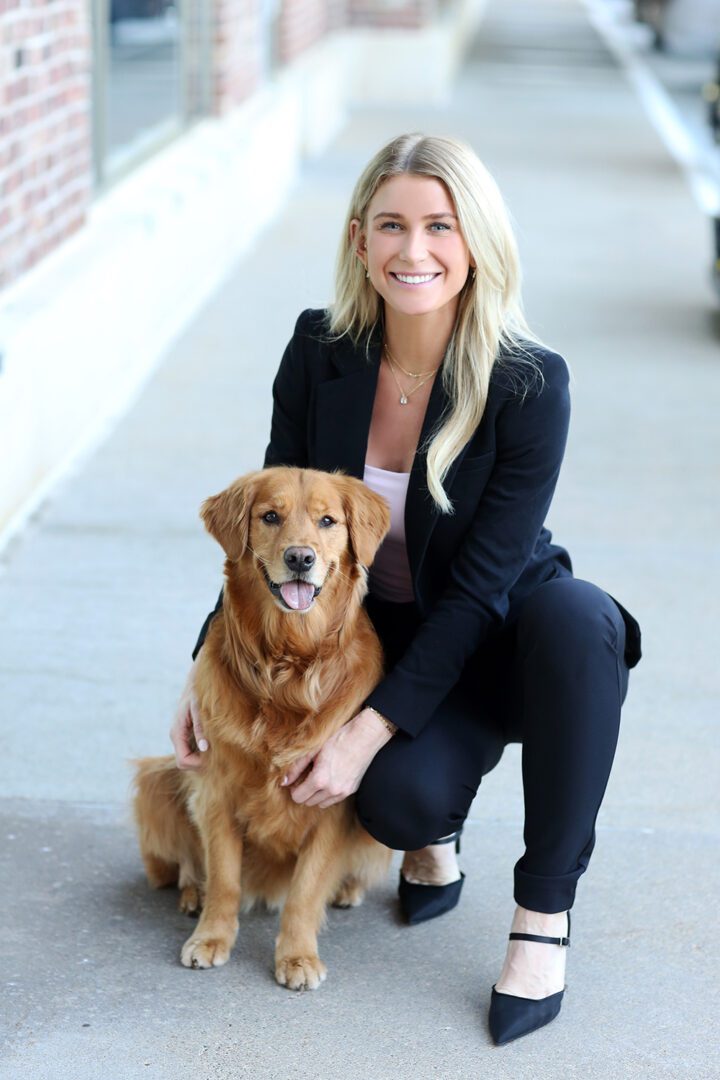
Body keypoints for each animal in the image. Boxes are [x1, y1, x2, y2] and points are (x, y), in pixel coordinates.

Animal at [134, 464, 395, 989]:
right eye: (270, 516)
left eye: (328, 521)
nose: (300, 558)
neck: (287, 663)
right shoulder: (216, 788)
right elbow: (225, 879)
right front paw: (211, 937)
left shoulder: (331, 800)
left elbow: (304, 892)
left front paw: (296, 957)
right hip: (159, 777)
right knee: (190, 863)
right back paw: (192, 892)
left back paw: (347, 887)